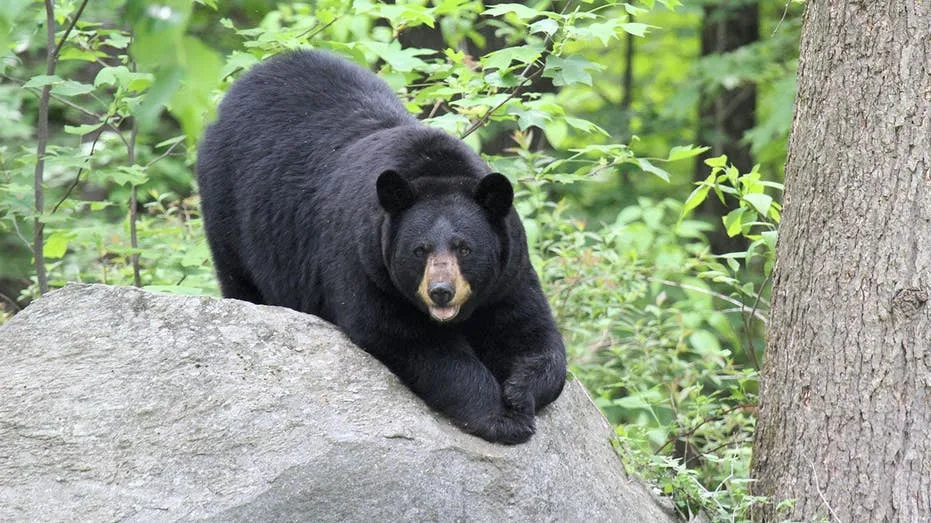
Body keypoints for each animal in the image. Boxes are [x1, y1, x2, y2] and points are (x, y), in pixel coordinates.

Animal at [196, 50, 566, 444]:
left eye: (465, 248)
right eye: (419, 250)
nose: (441, 291)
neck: (436, 169)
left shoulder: (509, 268)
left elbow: (531, 331)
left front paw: (519, 392)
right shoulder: (364, 262)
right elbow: (410, 340)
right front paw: (499, 416)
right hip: (229, 208)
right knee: (239, 276)